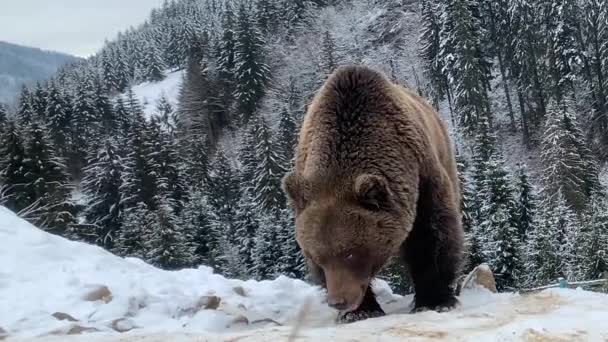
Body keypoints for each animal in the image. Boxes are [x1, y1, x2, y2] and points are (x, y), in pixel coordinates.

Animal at [282, 65, 464, 324]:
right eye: (318, 256)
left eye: (350, 253)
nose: (339, 301)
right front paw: (362, 310)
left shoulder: (422, 174)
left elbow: (431, 235)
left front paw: (435, 299)